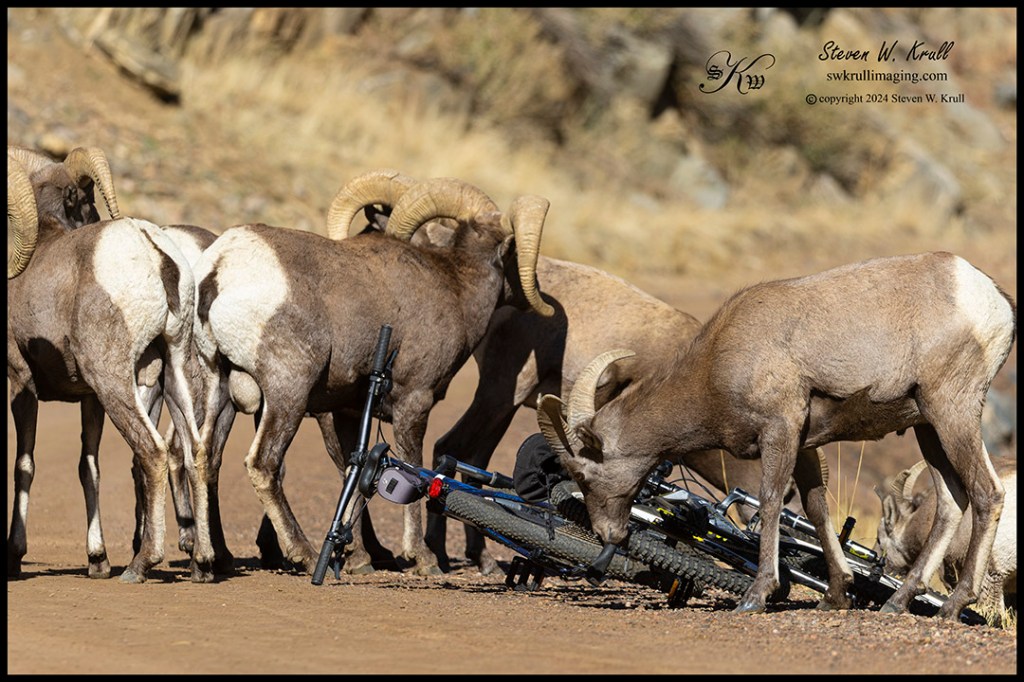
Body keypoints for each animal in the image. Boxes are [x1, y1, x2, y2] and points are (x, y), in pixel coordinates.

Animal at [7, 151, 213, 582]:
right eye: (88, 202)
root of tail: (155, 254)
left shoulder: (22, 382)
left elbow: (24, 466)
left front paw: (14, 556)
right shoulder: (89, 399)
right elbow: (90, 468)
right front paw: (96, 560)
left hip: (114, 380)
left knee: (152, 452)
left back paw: (140, 565)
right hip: (176, 370)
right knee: (195, 451)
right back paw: (202, 564)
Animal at [189, 175, 553, 575]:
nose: (532, 288)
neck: (455, 287)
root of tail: (221, 269)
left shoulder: (349, 412)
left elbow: (352, 469)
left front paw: (358, 558)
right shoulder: (414, 401)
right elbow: (413, 469)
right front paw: (422, 559)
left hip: (218, 390)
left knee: (204, 457)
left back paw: (211, 560)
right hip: (288, 396)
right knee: (263, 465)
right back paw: (302, 554)